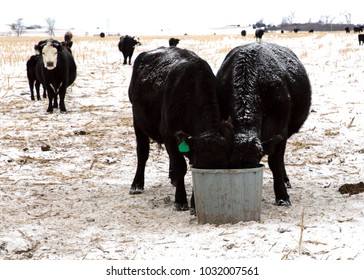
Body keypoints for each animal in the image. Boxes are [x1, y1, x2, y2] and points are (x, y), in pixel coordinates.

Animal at [129, 47, 233, 211]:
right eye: (198, 167)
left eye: (223, 167)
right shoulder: (168, 134)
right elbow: (180, 166)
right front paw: (180, 200)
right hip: (137, 122)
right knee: (142, 153)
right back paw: (137, 184)